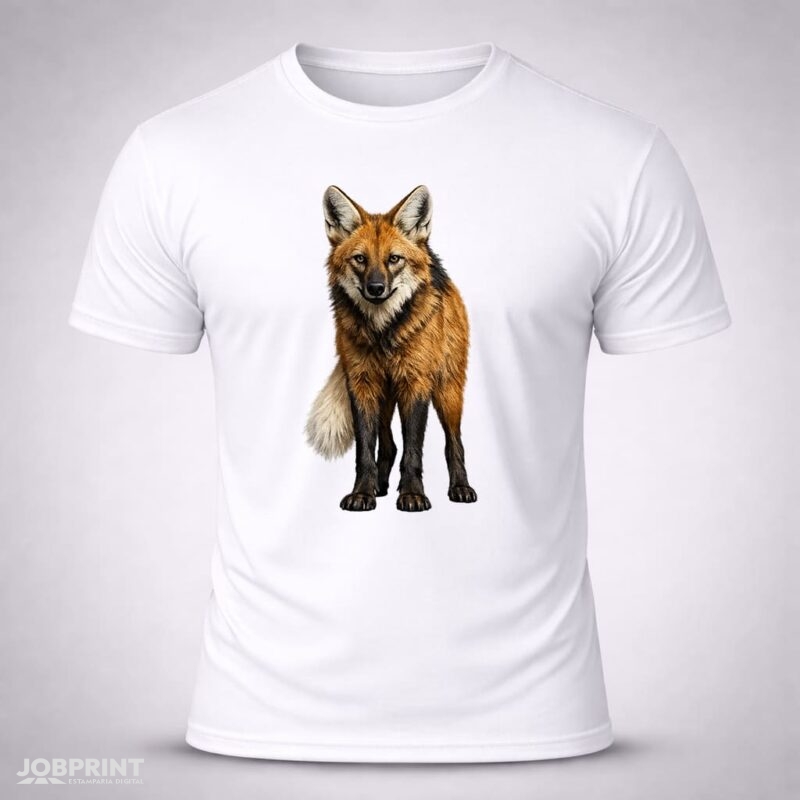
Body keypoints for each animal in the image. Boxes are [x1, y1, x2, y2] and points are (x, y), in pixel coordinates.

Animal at [305, 185, 477, 512]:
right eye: (360, 259)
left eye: (394, 259)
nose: (376, 288)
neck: (383, 334)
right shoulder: (361, 384)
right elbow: (365, 451)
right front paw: (363, 493)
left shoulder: (416, 383)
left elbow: (413, 450)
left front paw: (412, 495)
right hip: (385, 397)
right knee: (388, 445)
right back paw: (381, 487)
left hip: (447, 391)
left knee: (454, 444)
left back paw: (460, 488)